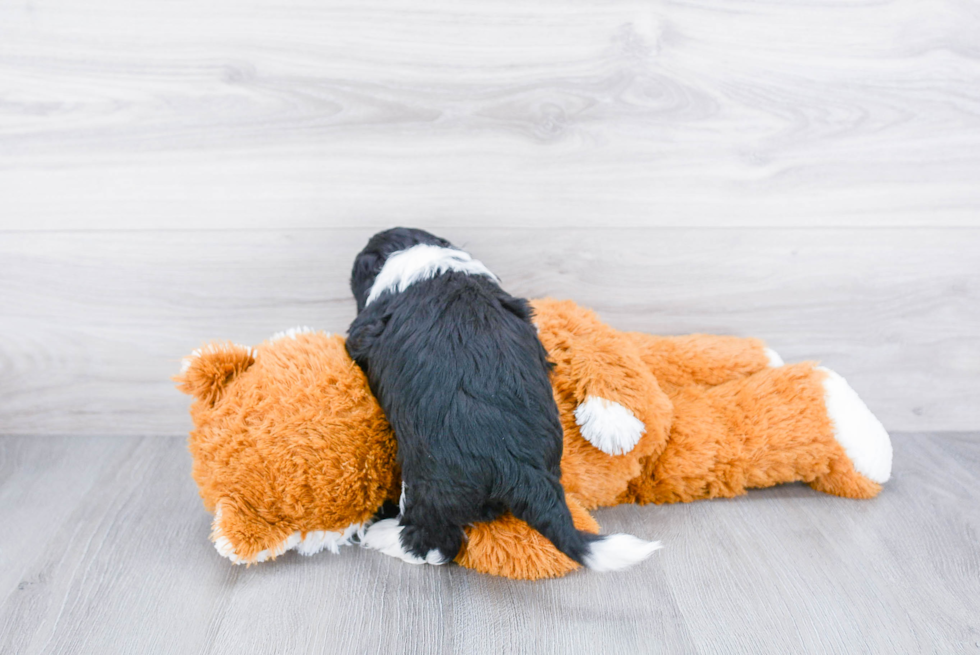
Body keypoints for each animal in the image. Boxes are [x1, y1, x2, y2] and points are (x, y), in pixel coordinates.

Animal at [344, 228, 660, 572]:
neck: (430, 261)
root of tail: (520, 469)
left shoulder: (364, 329)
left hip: (428, 484)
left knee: (435, 544)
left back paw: (384, 536)